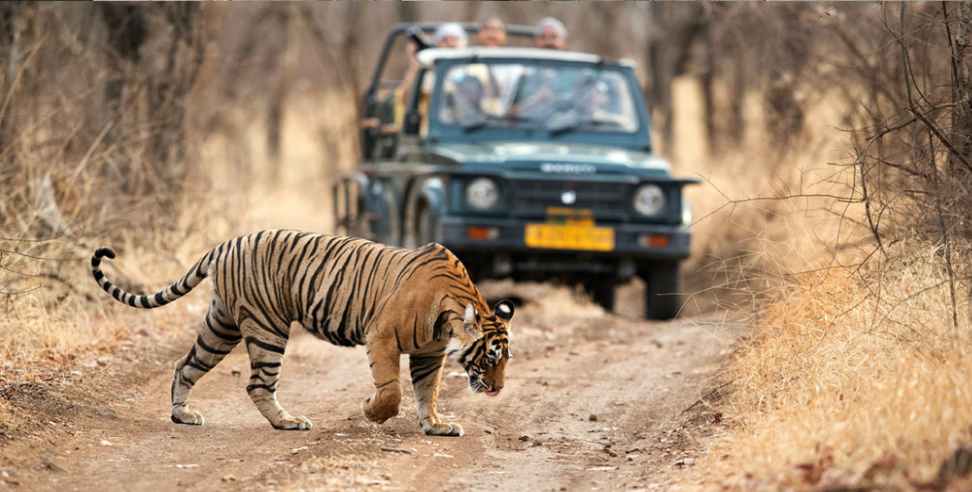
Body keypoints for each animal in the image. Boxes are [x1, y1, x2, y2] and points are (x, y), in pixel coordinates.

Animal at [89, 229, 516, 436]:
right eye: (490, 357)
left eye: (505, 359)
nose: (498, 389)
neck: (450, 312)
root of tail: (226, 244)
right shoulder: (381, 336)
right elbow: (392, 391)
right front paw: (371, 411)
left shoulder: (430, 352)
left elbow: (428, 392)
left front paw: (436, 425)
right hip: (267, 327)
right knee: (258, 384)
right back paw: (288, 422)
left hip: (221, 325)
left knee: (185, 365)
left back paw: (183, 415)